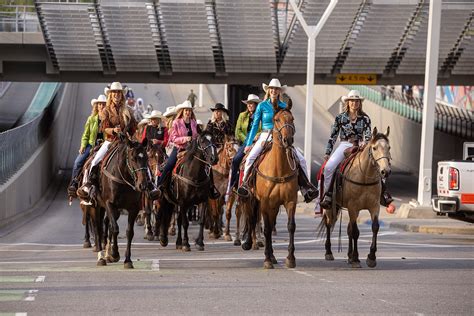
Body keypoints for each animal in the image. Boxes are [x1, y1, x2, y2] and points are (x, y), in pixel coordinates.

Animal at [95, 137, 149, 268]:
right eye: (133, 158)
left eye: (146, 158)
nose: (142, 185)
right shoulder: (109, 204)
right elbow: (115, 228)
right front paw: (115, 254)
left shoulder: (133, 208)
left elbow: (129, 232)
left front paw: (127, 260)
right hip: (98, 206)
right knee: (98, 227)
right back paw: (101, 257)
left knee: (107, 224)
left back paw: (107, 254)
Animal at [243, 107, 298, 270]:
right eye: (277, 119)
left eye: (292, 119)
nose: (288, 140)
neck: (279, 169)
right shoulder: (265, 202)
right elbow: (266, 229)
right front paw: (266, 259)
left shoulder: (290, 201)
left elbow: (290, 226)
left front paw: (290, 258)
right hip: (251, 199)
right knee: (251, 219)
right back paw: (249, 244)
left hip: (273, 205)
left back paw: (273, 256)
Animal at [316, 127, 390, 268]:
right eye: (374, 148)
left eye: (389, 147)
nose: (385, 171)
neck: (364, 175)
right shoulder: (353, 207)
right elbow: (355, 232)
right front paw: (356, 258)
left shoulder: (374, 206)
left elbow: (375, 227)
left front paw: (371, 257)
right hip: (330, 206)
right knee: (329, 224)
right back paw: (329, 252)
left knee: (349, 228)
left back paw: (349, 255)